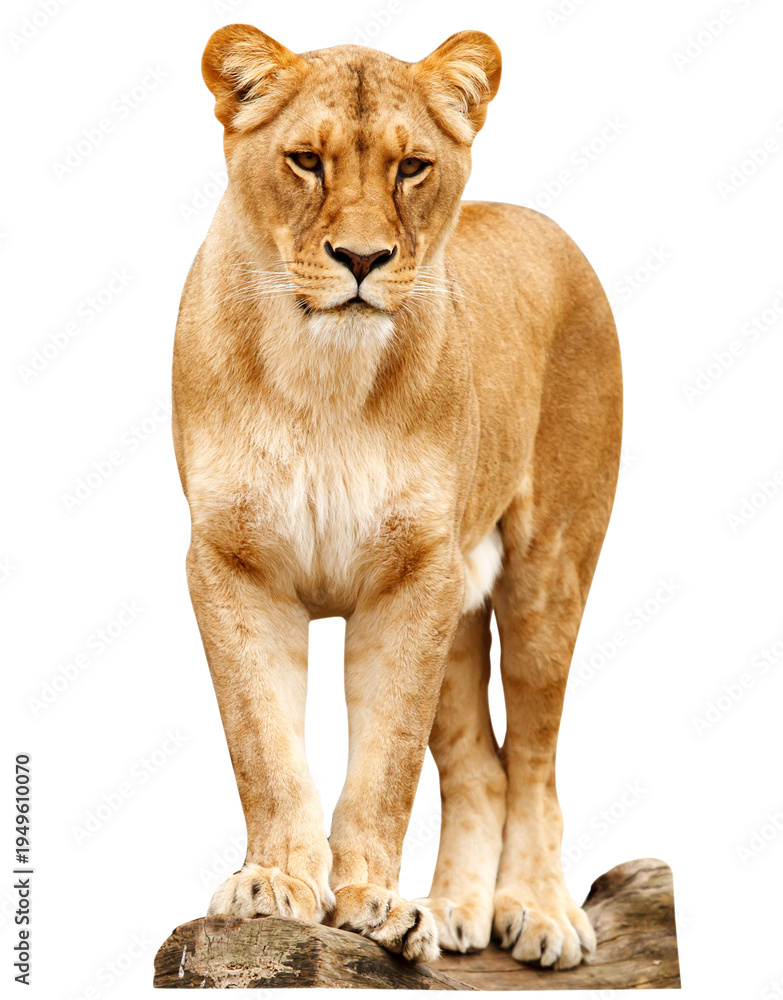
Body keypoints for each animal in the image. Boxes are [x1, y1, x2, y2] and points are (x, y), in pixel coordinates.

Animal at [172, 24, 622, 970]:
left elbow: (386, 764)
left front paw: (373, 903)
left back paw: (538, 911)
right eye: (305, 160)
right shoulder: (233, 564)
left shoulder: (413, 575)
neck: (322, 376)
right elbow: (263, 745)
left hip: (547, 573)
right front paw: (273, 882)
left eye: (412, 167)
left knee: (534, 757)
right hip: (459, 605)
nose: (362, 260)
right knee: (480, 764)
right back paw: (453, 911)